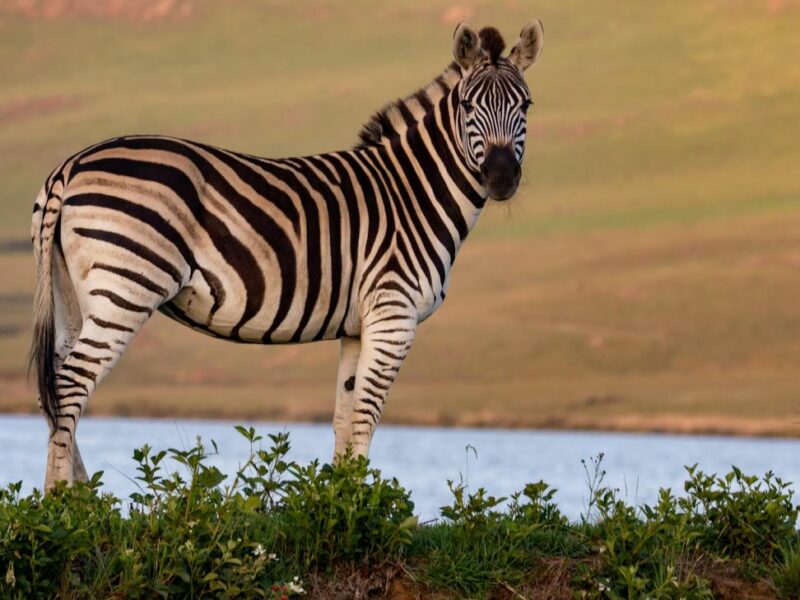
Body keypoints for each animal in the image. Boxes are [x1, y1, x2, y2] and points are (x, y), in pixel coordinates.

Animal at [30, 20, 544, 489]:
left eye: (525, 105)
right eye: (467, 105)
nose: (501, 176)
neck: (412, 192)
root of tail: (71, 165)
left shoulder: (357, 327)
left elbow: (344, 419)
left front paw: (340, 504)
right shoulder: (393, 315)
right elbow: (366, 418)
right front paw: (363, 508)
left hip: (73, 292)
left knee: (54, 384)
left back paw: (85, 499)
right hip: (127, 286)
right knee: (70, 383)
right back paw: (62, 501)